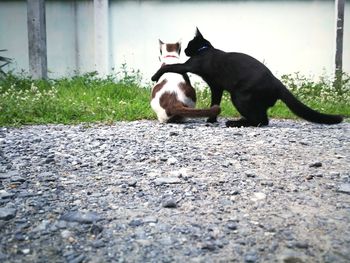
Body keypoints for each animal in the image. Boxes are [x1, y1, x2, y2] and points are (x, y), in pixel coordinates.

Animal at [152, 28, 344, 127]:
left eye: (190, 45)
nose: (185, 50)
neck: (205, 50)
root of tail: (277, 82)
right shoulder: (217, 87)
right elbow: (215, 102)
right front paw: (211, 120)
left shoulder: (189, 65)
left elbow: (170, 66)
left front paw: (155, 76)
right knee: (261, 118)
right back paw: (239, 121)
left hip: (239, 96)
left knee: (261, 121)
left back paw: (234, 123)